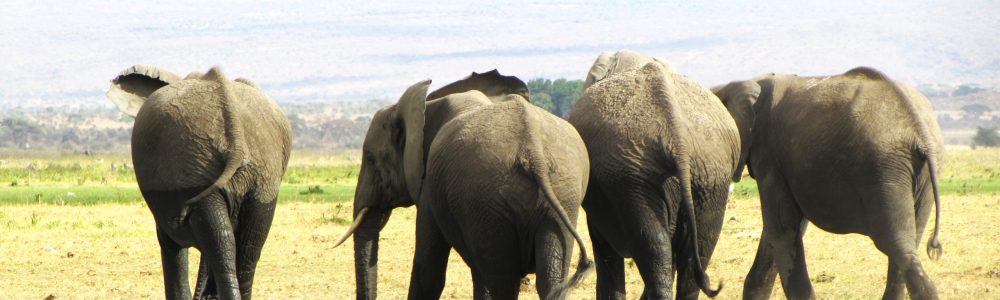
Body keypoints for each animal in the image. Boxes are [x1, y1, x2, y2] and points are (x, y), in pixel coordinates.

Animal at [106, 65, 292, 300]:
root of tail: (236, 138)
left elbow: (170, 243)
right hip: (260, 175)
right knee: (247, 245)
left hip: (198, 168)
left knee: (223, 239)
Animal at [332, 71, 596, 300]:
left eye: (370, 158)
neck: (426, 104)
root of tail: (533, 152)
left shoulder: (429, 190)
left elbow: (428, 270)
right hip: (561, 195)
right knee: (549, 279)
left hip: (489, 198)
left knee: (503, 281)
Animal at [568, 50, 740, 298]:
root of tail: (677, 135)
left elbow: (605, 251)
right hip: (708, 174)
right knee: (693, 254)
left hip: (633, 177)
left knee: (656, 248)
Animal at [716, 66, 940, 300]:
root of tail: (918, 131)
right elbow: (784, 230)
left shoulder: (769, 156)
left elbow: (781, 229)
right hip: (914, 174)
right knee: (907, 246)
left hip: (884, 169)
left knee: (897, 246)